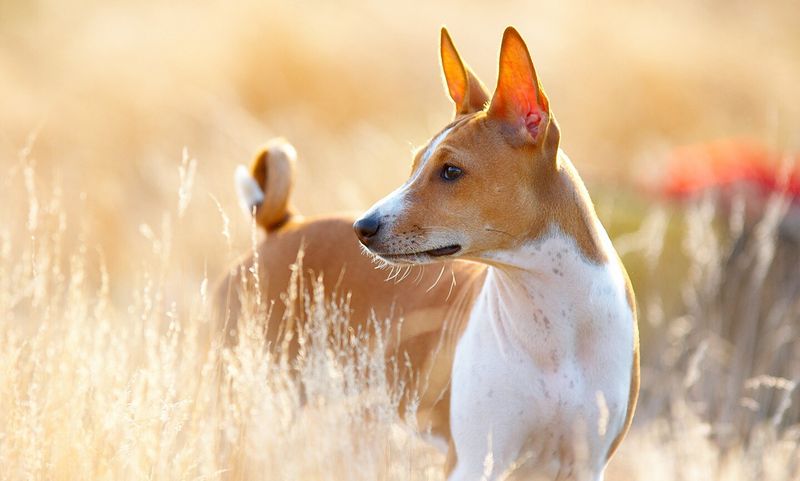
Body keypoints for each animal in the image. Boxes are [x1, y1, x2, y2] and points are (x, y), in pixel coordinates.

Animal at [220, 27, 644, 480]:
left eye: (451, 171)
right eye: (414, 165)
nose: (362, 227)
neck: (554, 326)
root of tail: (283, 226)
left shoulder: (583, 464)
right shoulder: (474, 461)